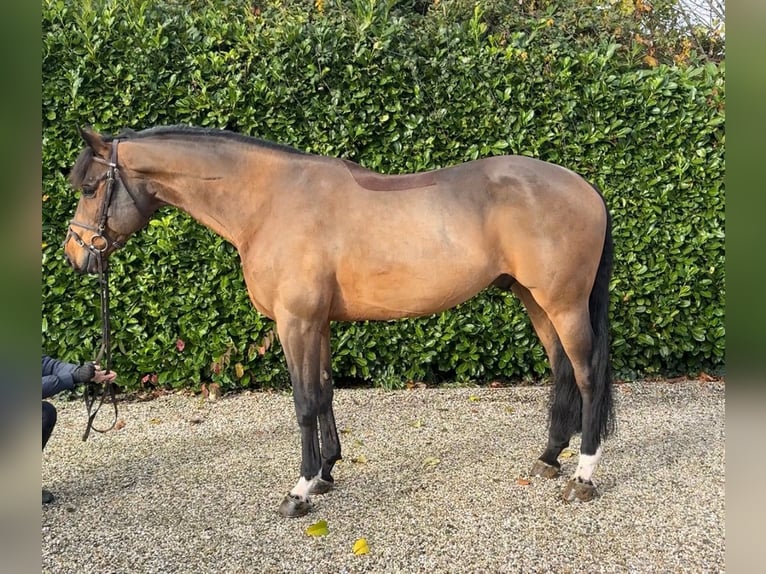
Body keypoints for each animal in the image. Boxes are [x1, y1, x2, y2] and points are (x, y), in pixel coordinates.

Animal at [63, 125, 614, 517]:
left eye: (90, 187)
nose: (75, 254)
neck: (269, 202)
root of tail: (586, 187)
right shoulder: (319, 323)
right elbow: (326, 391)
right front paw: (327, 471)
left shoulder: (296, 322)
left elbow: (304, 401)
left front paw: (301, 489)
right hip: (534, 300)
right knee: (562, 370)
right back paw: (549, 458)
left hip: (563, 304)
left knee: (587, 374)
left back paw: (583, 477)